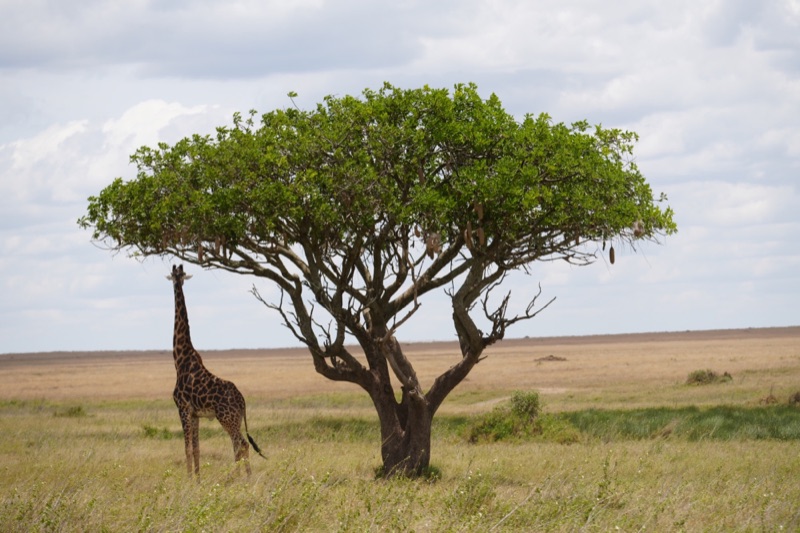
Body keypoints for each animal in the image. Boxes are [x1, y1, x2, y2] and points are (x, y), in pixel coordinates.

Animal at [167, 264, 265, 476]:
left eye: (178, 274)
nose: (177, 279)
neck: (180, 360)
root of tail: (242, 401)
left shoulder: (183, 408)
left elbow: (186, 448)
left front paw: (188, 479)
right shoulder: (195, 414)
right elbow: (196, 448)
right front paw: (197, 479)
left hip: (226, 417)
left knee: (241, 443)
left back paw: (238, 477)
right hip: (234, 418)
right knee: (239, 444)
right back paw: (244, 476)